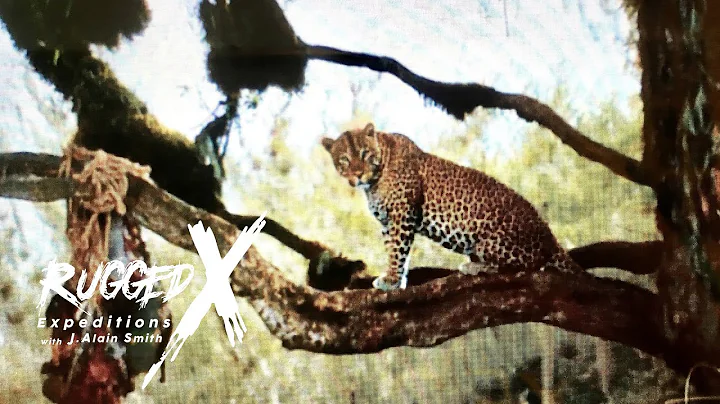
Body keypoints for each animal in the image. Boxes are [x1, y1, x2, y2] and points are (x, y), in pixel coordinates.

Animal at [321, 123, 582, 291]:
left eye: (365, 154)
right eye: (344, 160)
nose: (358, 174)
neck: (374, 181)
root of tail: (549, 234)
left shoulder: (402, 214)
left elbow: (397, 250)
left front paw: (392, 280)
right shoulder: (388, 221)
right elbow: (396, 250)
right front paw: (397, 279)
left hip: (492, 243)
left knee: (528, 266)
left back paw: (475, 267)